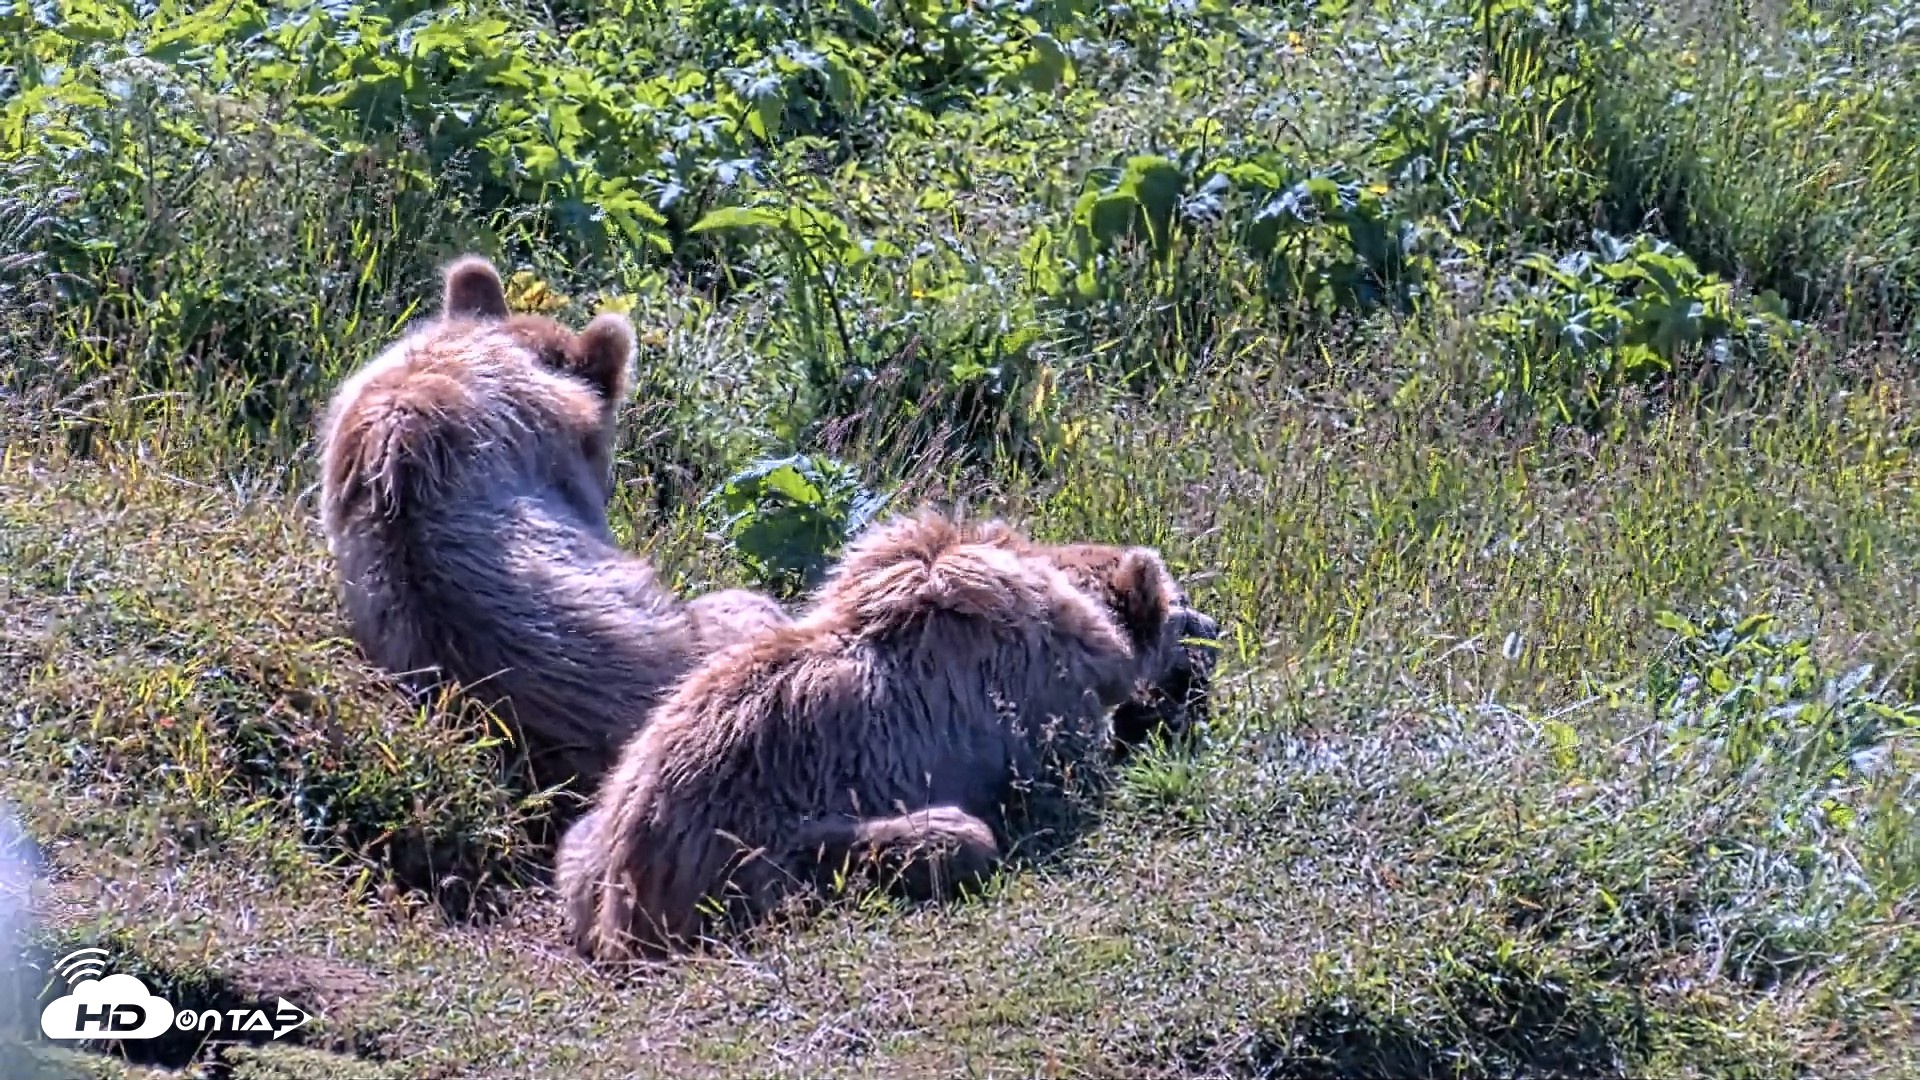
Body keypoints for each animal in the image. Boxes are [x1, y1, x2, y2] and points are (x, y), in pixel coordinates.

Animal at [554, 508, 1219, 963]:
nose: (1215, 628)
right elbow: (1071, 769)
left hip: (598, 829)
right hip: (752, 855)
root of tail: (622, 903)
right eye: (1183, 599)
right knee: (946, 838)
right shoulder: (1035, 703)